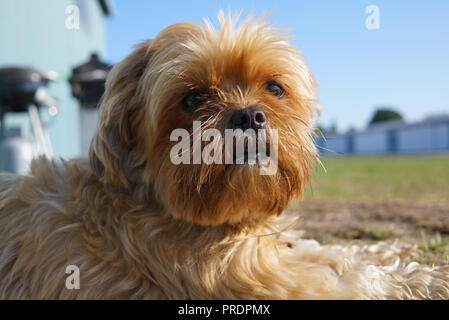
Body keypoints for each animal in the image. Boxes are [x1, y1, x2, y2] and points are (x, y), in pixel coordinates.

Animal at [0, 11, 448, 298]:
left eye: (275, 88)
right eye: (193, 98)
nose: (249, 115)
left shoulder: (279, 252)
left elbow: (343, 251)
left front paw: (400, 254)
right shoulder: (276, 282)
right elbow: (363, 279)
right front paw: (425, 278)